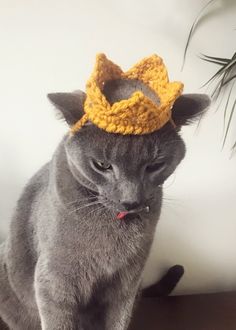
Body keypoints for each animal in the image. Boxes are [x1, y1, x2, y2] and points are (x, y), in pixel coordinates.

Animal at [0, 78, 210, 330]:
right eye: (102, 165)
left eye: (154, 165)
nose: (130, 200)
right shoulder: (54, 281)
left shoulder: (127, 281)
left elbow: (118, 320)